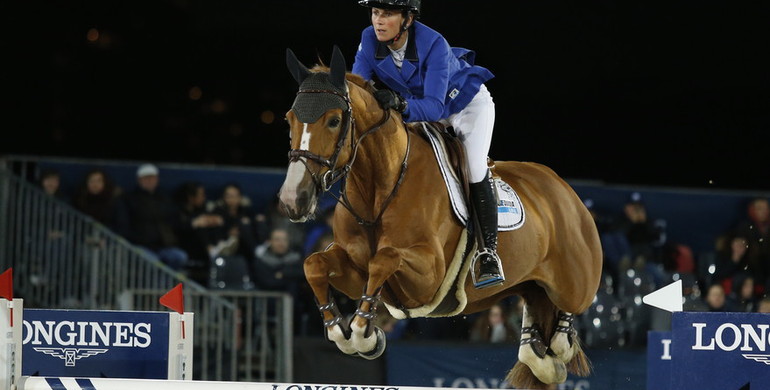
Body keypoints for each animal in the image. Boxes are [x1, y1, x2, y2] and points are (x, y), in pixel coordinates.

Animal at [276, 46, 600, 390]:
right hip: (530, 284)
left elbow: (384, 259)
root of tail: (564, 190)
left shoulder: (428, 280)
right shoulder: (355, 270)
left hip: (574, 283)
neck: (381, 187)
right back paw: (539, 354)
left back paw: (560, 342)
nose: (293, 200)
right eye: (289, 120)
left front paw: (364, 333)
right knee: (536, 319)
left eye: (334, 120)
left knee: (570, 310)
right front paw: (340, 329)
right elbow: (315, 265)